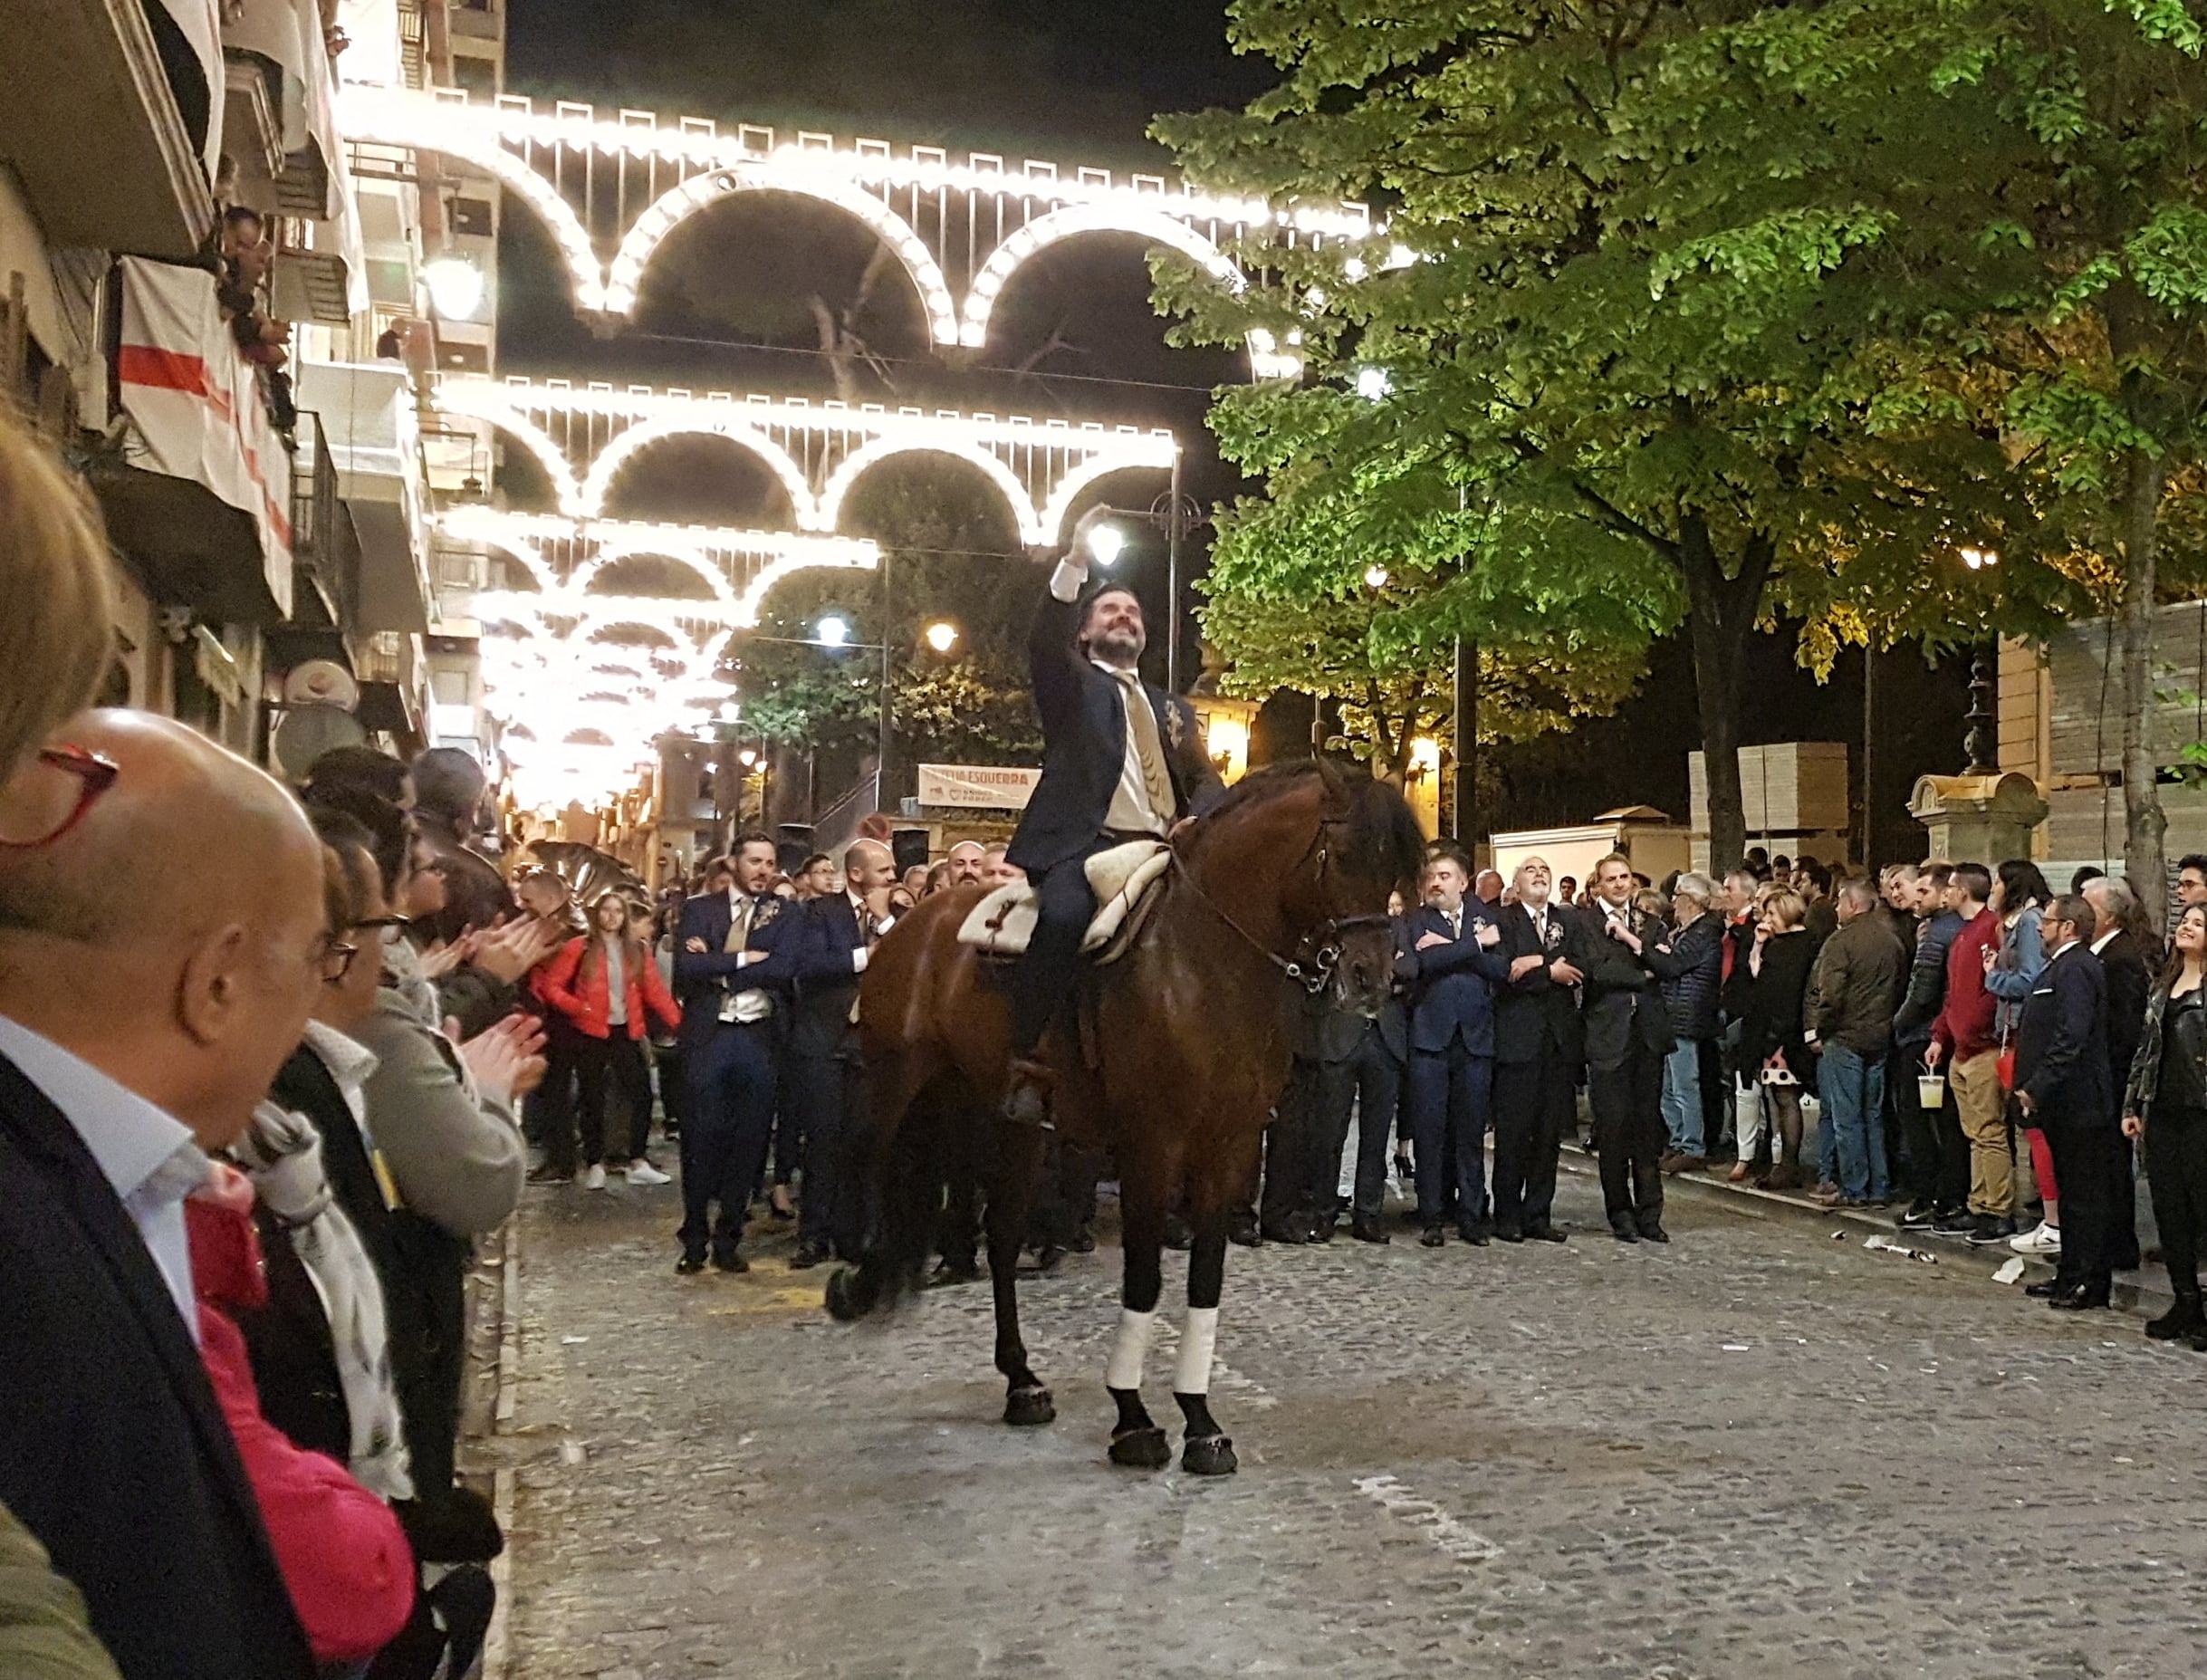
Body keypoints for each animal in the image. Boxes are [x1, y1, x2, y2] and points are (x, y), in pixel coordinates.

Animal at [830, 759, 1430, 1465]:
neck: (1205, 964)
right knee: (875, 1182)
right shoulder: (1154, 1144)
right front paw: (1134, 1419)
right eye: (1341, 855)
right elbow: (1143, 1278)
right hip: (896, 1089)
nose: (1371, 980)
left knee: (1001, 1239)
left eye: (1392, 867)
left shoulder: (1226, 1145)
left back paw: (1021, 1382)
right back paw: (858, 1286)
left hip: (1011, 1125)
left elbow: (1205, 1278)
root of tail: (912, 925)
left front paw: (1200, 1421)